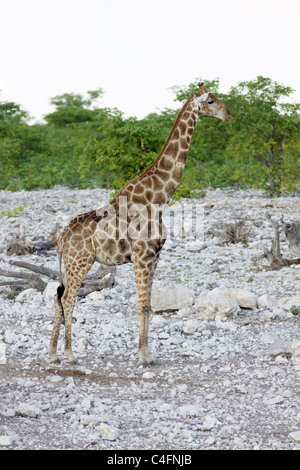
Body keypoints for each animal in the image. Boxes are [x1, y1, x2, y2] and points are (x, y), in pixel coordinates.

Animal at [49, 82, 232, 366]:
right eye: (211, 101)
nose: (228, 115)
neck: (159, 198)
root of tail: (62, 238)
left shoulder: (154, 258)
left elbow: (148, 305)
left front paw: (146, 353)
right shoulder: (142, 256)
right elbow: (140, 303)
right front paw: (143, 356)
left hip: (70, 264)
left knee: (57, 297)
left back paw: (53, 352)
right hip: (80, 262)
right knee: (68, 299)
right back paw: (69, 354)